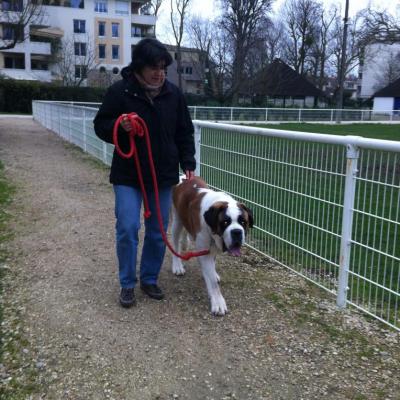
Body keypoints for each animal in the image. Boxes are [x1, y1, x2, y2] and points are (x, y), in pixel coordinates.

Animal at [171, 177, 253, 314]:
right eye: (225, 222)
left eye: (243, 222)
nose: (237, 232)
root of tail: (184, 179)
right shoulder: (203, 249)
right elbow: (213, 282)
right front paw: (218, 301)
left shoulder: (209, 249)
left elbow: (211, 269)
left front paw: (212, 275)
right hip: (177, 220)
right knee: (175, 242)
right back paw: (177, 265)